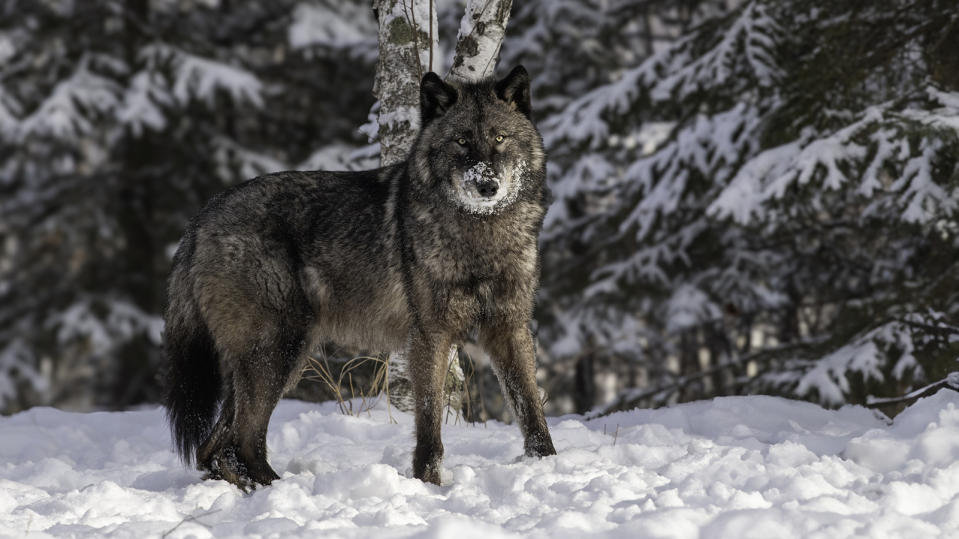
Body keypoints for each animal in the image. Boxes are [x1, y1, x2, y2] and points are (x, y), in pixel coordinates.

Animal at [162, 64, 560, 490]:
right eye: (461, 140)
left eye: (500, 138)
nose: (487, 185)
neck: (481, 235)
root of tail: (201, 217)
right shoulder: (430, 335)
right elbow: (429, 420)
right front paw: (429, 482)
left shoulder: (508, 327)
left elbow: (530, 409)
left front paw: (548, 465)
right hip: (280, 353)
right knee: (243, 441)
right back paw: (280, 489)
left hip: (274, 359)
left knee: (214, 450)